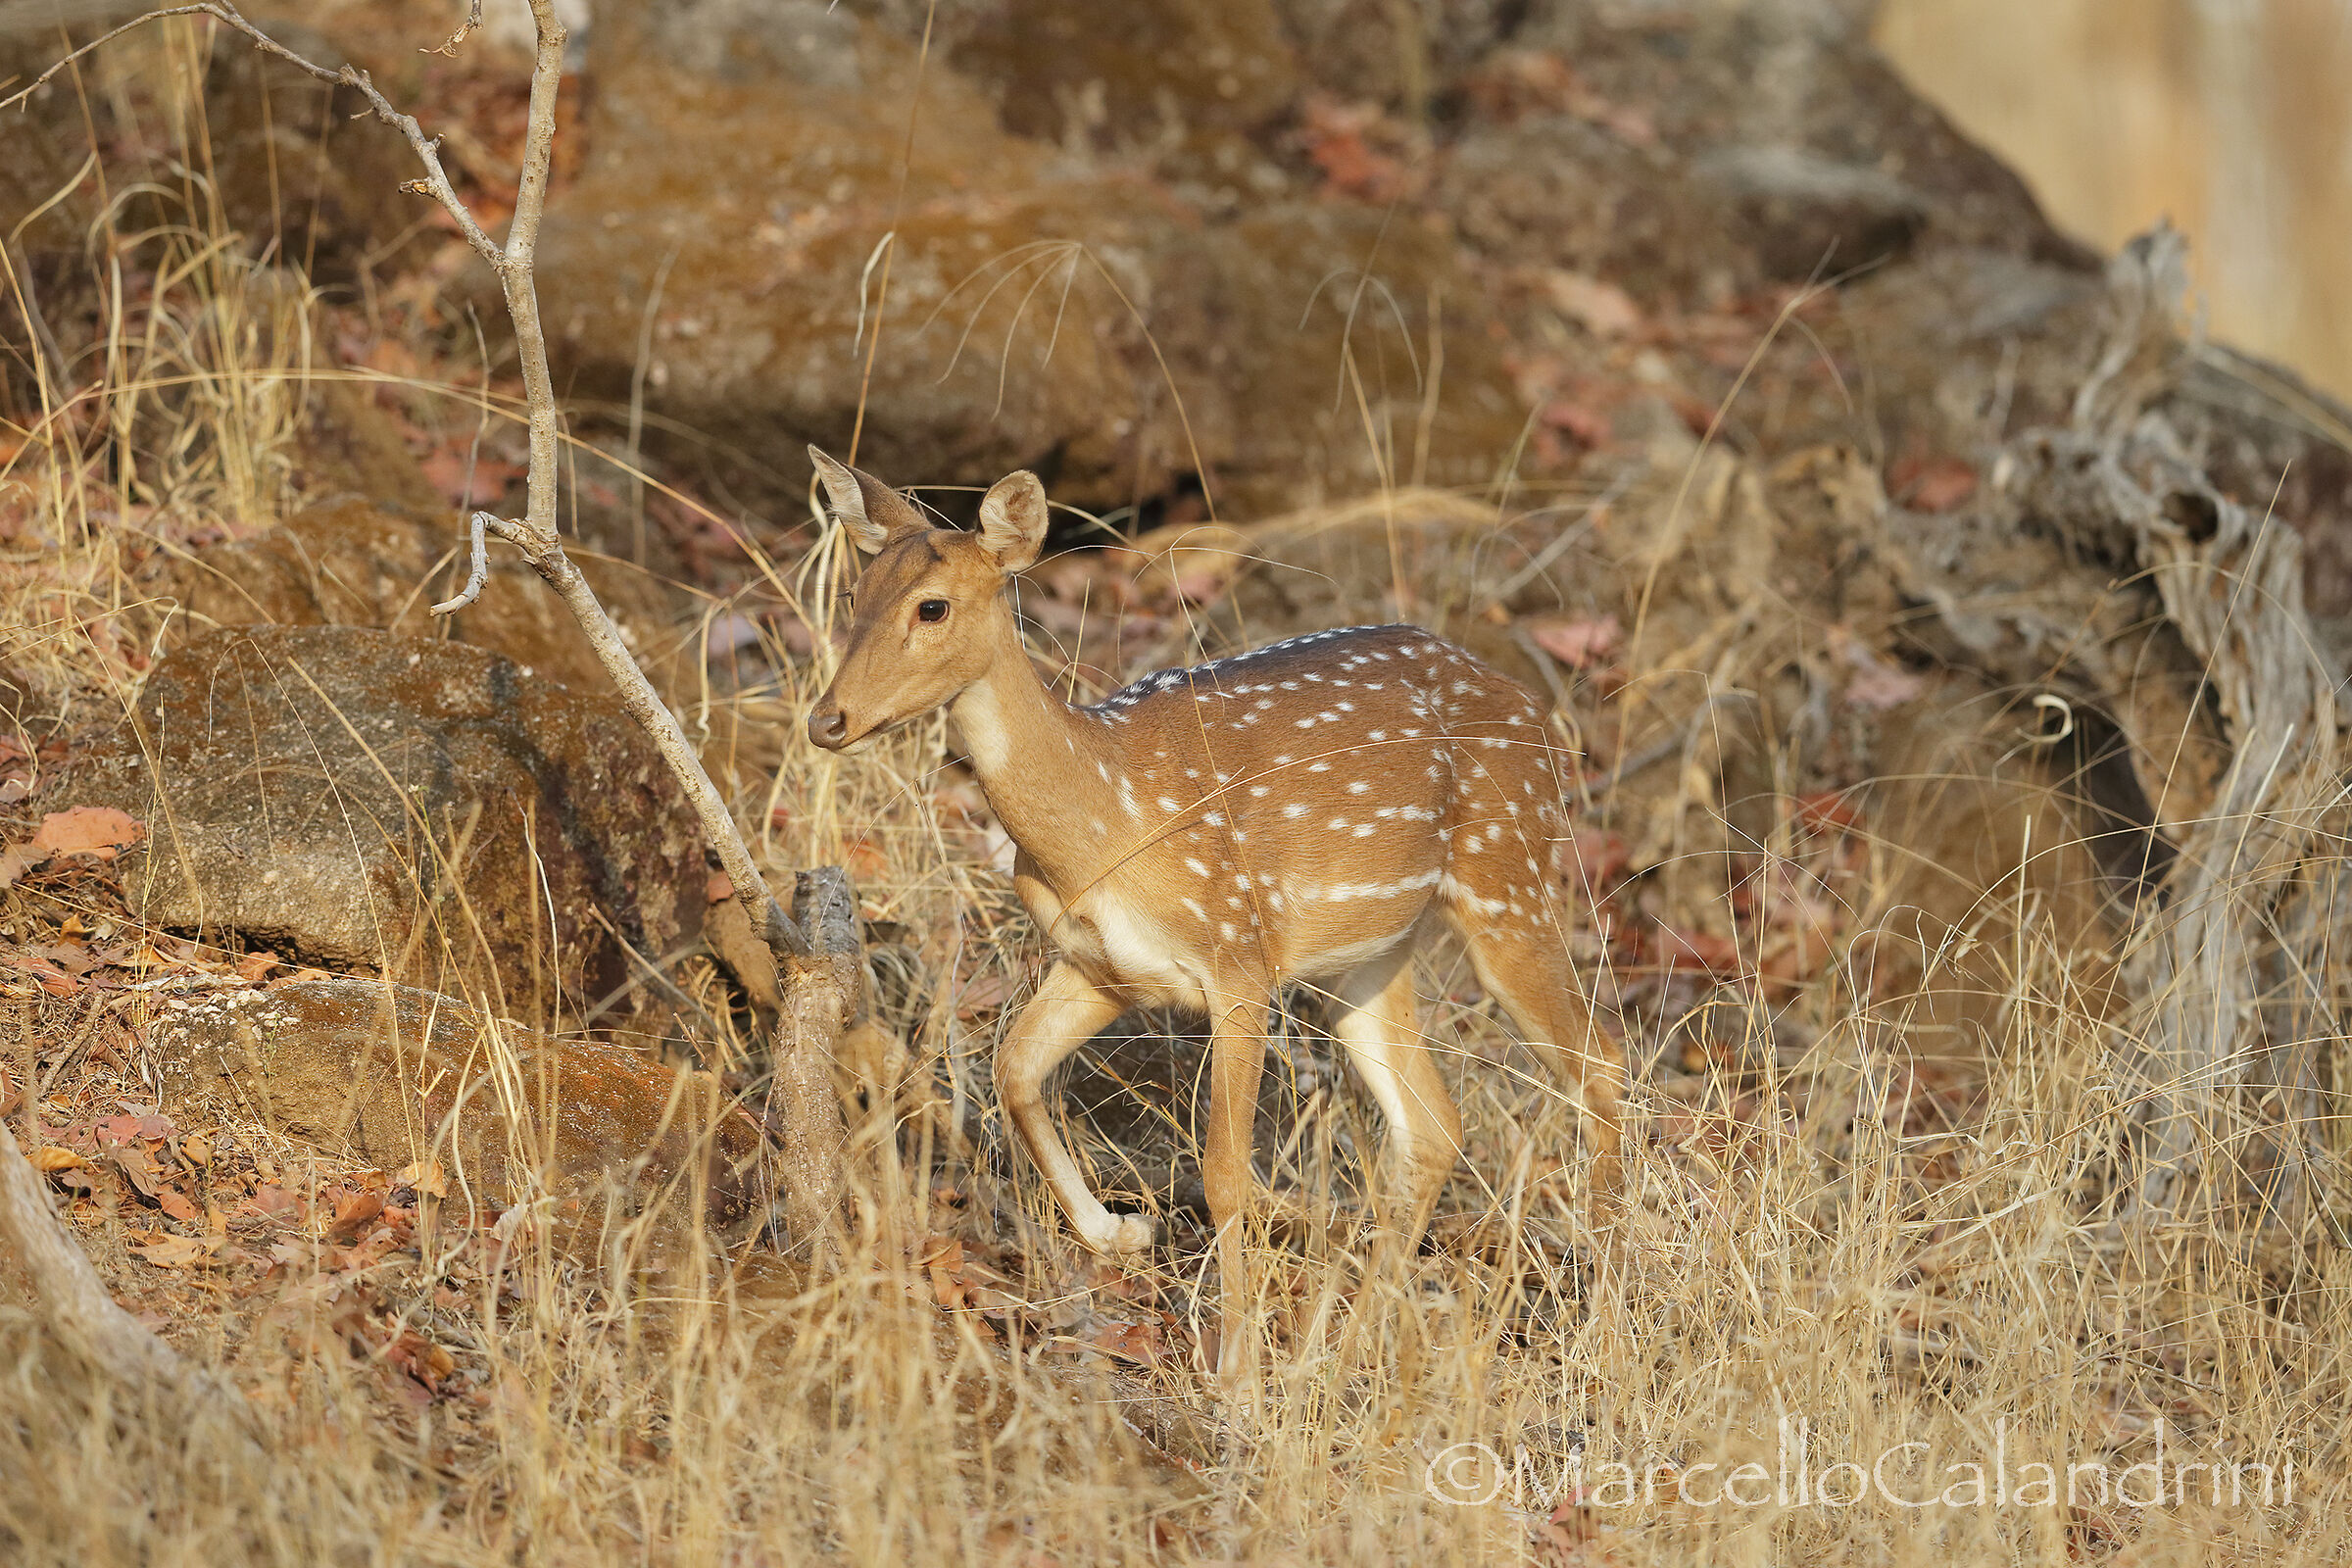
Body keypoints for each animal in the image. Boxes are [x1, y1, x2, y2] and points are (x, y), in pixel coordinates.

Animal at [802, 448, 1627, 1385]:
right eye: (855, 592)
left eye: (932, 605)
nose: (827, 719)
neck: (1103, 819)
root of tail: (1544, 718)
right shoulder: (1101, 966)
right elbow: (1013, 1066)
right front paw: (1121, 1233)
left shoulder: (1239, 953)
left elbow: (1228, 1169)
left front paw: (1233, 1370)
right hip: (1370, 956)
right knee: (1434, 1126)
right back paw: (1342, 1350)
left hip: (1509, 878)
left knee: (1600, 1065)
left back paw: (1601, 1318)